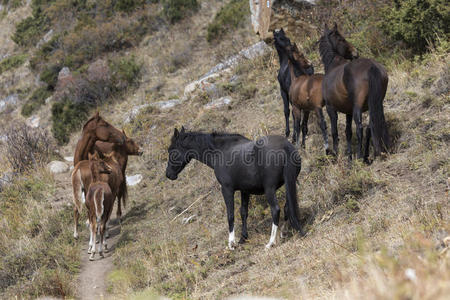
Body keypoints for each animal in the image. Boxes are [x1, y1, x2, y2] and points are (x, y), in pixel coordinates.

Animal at [165, 127, 302, 250]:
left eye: (171, 150)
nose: (168, 174)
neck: (220, 152)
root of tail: (285, 146)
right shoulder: (245, 191)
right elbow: (243, 212)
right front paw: (243, 238)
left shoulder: (227, 190)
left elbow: (230, 215)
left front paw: (231, 243)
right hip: (288, 184)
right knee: (287, 207)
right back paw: (284, 232)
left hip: (269, 190)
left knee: (276, 210)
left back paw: (271, 242)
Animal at [318, 22, 388, 162]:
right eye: (342, 39)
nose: (355, 53)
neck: (334, 65)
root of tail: (371, 66)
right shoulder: (348, 112)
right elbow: (348, 132)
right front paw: (349, 156)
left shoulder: (330, 108)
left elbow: (334, 132)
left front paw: (336, 154)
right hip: (376, 104)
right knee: (371, 126)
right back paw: (367, 156)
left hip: (358, 106)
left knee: (360, 127)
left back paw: (360, 156)